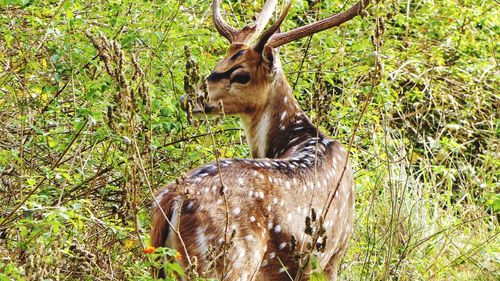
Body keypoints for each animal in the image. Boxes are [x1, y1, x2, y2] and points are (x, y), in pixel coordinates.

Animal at [152, 1, 372, 278]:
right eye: (219, 62)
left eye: (241, 75)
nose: (188, 99)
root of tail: (172, 198)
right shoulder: (332, 255)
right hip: (228, 263)